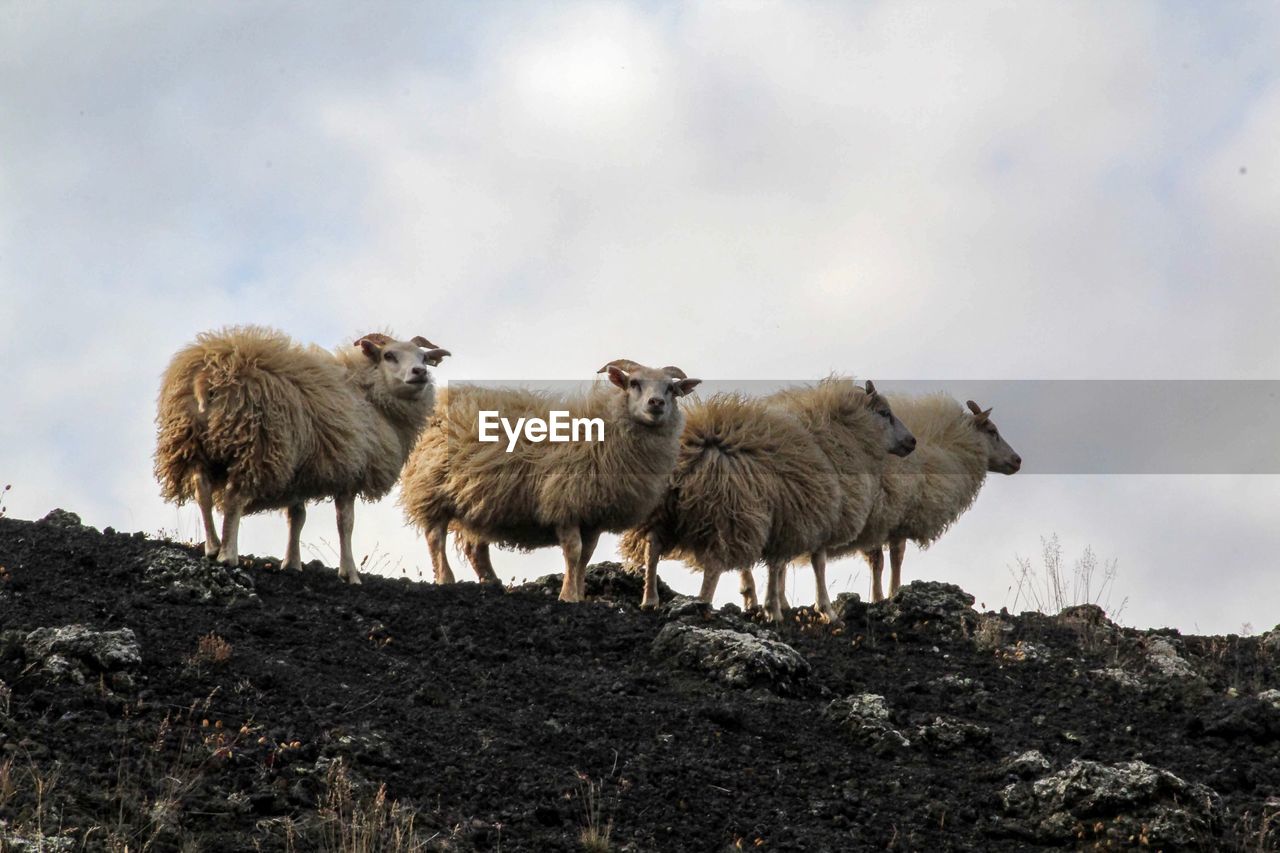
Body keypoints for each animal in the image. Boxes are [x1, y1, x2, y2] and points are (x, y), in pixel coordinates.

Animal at [155, 322, 450, 581]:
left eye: (424, 357)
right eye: (389, 355)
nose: (420, 372)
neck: (368, 394)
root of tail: (207, 375)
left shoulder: (300, 471)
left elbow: (296, 518)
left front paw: (292, 563)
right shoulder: (350, 469)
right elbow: (345, 524)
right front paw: (350, 573)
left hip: (191, 443)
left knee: (202, 490)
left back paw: (213, 546)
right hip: (255, 444)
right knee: (233, 499)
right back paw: (228, 554)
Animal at [399, 356, 701, 601]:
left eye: (671, 389)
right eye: (634, 383)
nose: (656, 403)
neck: (603, 430)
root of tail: (441, 402)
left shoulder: (592, 515)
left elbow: (586, 556)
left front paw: (579, 593)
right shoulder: (564, 502)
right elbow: (573, 551)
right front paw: (567, 596)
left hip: (476, 502)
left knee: (475, 547)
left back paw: (492, 583)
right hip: (431, 486)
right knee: (435, 536)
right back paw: (446, 579)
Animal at [616, 389, 844, 617]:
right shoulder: (791, 525)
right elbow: (802, 564)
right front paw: (782, 610)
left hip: (661, 512)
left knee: (652, 546)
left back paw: (650, 599)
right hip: (724, 515)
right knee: (714, 563)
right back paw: (702, 604)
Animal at [839, 394, 1018, 596]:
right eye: (992, 431)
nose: (1017, 460)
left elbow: (885, 559)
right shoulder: (890, 515)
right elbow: (890, 559)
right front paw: (888, 594)